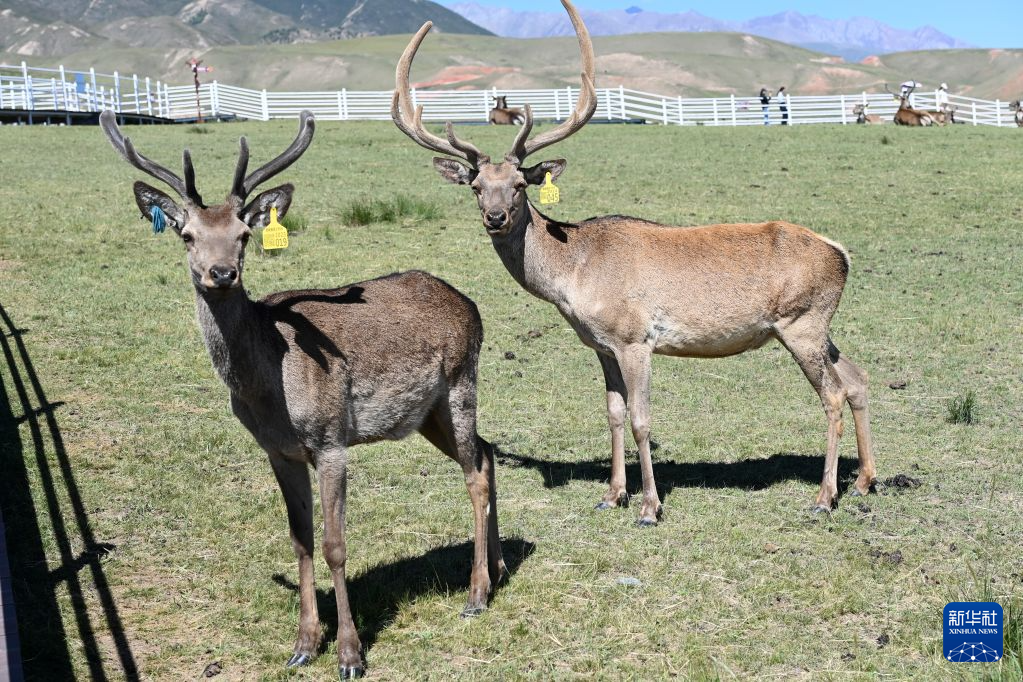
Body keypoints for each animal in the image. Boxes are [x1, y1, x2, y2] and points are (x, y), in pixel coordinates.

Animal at [99, 110, 505, 679]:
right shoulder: (278, 451)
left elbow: (335, 545)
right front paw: (304, 644)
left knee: (475, 473)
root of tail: (469, 303)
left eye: (245, 233)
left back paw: (476, 594)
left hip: (461, 384)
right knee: (488, 453)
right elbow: (300, 540)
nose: (221, 273)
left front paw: (350, 654)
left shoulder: (331, 440)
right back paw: (500, 567)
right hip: (425, 414)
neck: (270, 390)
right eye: (187, 235)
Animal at [392, 0, 877, 527]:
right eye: (478, 187)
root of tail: (842, 254)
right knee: (857, 378)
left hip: (801, 323)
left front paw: (649, 505)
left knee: (832, 394)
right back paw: (864, 481)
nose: (496, 217)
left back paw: (825, 496)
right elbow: (614, 413)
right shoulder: (601, 345)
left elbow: (643, 419)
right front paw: (612, 494)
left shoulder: (636, 338)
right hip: (818, 327)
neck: (574, 276)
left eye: (520, 185)